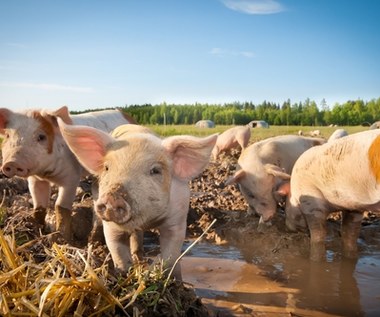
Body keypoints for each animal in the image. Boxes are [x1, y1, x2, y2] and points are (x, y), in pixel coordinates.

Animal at [0, 105, 136, 241]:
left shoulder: (72, 176)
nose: (12, 163)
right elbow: (39, 205)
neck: (47, 174)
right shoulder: (35, 179)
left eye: (41, 137)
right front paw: (35, 229)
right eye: (7, 135)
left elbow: (61, 206)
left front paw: (62, 239)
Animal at [56, 119, 217, 278]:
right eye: (107, 168)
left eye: (155, 170)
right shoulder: (111, 226)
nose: (112, 198)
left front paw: (169, 277)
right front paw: (125, 273)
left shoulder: (177, 218)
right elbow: (117, 250)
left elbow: (170, 253)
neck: (146, 221)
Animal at [282, 130, 380, 260]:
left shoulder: (311, 202)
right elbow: (349, 233)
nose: (286, 227)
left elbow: (318, 234)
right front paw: (349, 258)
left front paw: (316, 259)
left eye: (286, 207)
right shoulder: (354, 206)